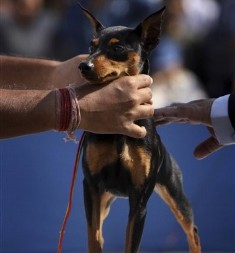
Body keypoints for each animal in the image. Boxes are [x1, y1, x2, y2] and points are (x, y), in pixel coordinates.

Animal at [78, 3, 201, 253]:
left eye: (118, 48)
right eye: (91, 46)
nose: (83, 65)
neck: (119, 128)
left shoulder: (140, 199)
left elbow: (131, 244)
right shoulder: (91, 187)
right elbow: (94, 237)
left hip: (174, 191)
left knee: (191, 230)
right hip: (105, 199)